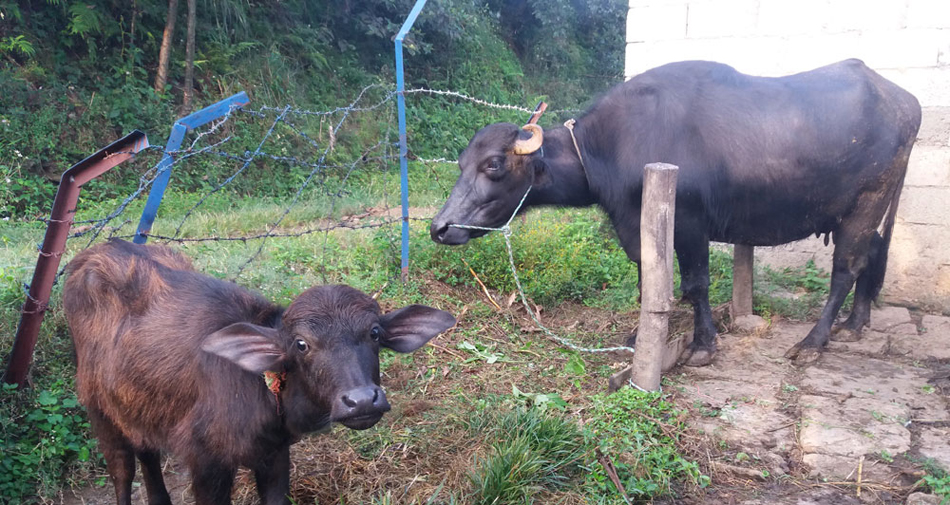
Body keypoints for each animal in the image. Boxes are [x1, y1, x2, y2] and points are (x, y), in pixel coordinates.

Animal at [63, 239, 455, 505]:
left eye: (374, 333)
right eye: (301, 344)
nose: (361, 401)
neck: (263, 389)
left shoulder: (274, 454)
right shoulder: (206, 463)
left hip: (138, 405)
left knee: (147, 453)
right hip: (98, 410)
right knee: (122, 471)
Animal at [431, 59, 920, 366]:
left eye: (494, 164)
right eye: (460, 163)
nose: (440, 227)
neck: (610, 148)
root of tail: (904, 100)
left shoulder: (690, 224)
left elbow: (695, 285)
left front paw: (702, 346)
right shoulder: (638, 226)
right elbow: (647, 282)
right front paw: (639, 337)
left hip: (867, 201)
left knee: (846, 268)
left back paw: (814, 342)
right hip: (861, 210)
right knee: (874, 252)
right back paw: (855, 324)